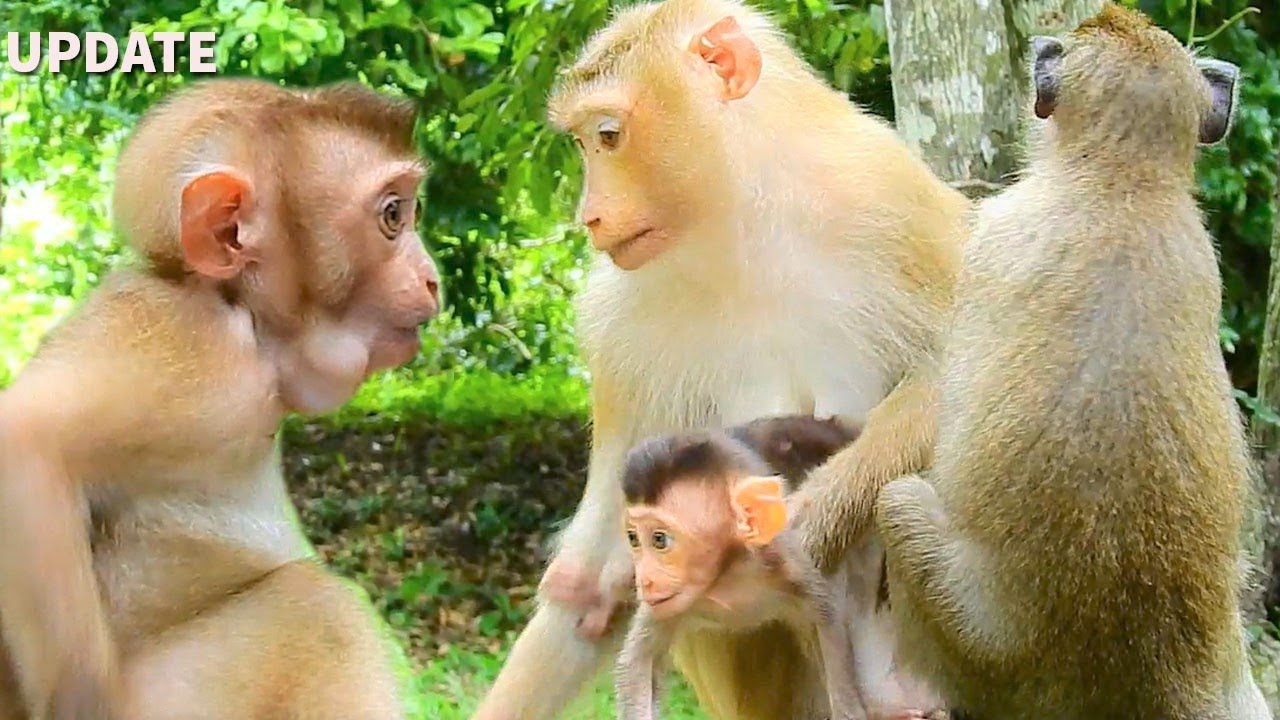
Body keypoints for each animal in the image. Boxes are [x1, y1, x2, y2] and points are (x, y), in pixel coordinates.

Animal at [0, 78, 439, 719]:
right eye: (392, 216)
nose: (432, 277)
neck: (241, 315)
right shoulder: (202, 365)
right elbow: (24, 436)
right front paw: (84, 700)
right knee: (318, 608)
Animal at [614, 415, 942, 720]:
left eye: (660, 540)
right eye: (633, 539)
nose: (644, 581)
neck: (729, 577)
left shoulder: (788, 565)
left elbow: (827, 626)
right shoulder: (671, 603)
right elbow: (639, 661)